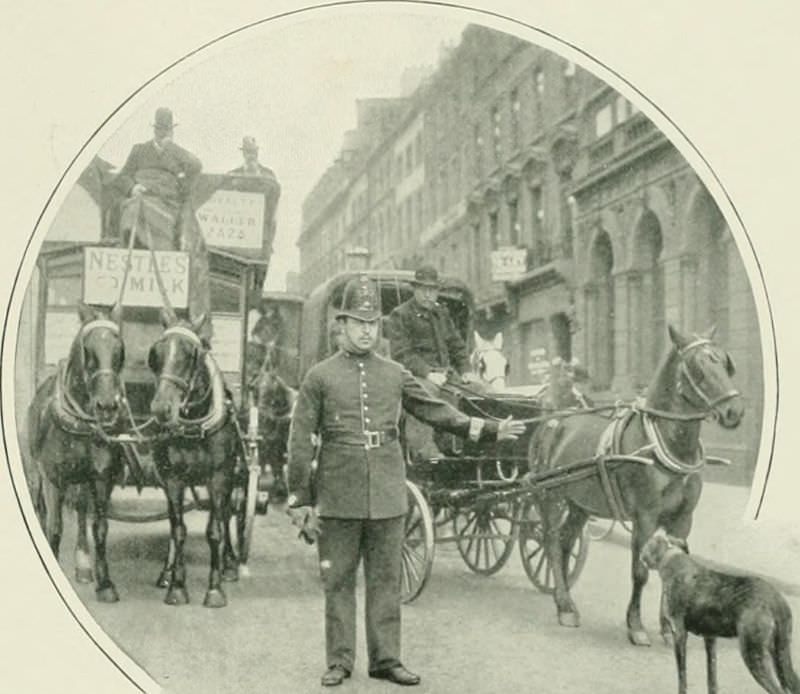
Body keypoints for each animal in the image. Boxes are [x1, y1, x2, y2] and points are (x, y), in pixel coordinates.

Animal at [26, 304, 126, 604]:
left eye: (119, 349)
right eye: (87, 349)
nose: (107, 406)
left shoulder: (102, 479)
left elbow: (100, 527)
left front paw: (105, 583)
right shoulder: (53, 480)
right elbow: (55, 525)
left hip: (82, 481)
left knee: (82, 510)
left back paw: (83, 563)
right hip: (38, 474)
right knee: (42, 508)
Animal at [147, 310, 241, 608]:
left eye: (192, 354)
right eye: (156, 353)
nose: (161, 408)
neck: (194, 425)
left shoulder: (220, 478)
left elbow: (215, 531)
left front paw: (215, 589)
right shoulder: (173, 479)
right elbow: (178, 530)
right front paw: (177, 585)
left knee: (226, 515)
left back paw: (229, 564)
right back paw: (166, 573)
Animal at [528, 326, 748, 648]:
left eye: (724, 361)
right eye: (697, 366)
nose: (734, 411)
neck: (665, 444)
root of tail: (554, 421)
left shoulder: (682, 520)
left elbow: (673, 565)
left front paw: (669, 629)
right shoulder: (644, 517)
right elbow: (640, 572)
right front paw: (636, 627)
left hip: (580, 504)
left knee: (567, 542)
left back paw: (563, 597)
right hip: (550, 497)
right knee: (553, 544)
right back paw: (566, 607)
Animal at [640, 532, 800, 692]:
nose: (641, 556)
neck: (672, 558)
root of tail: (776, 599)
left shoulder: (679, 634)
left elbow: (682, 677)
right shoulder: (710, 638)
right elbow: (712, 678)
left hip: (754, 653)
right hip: (778, 654)